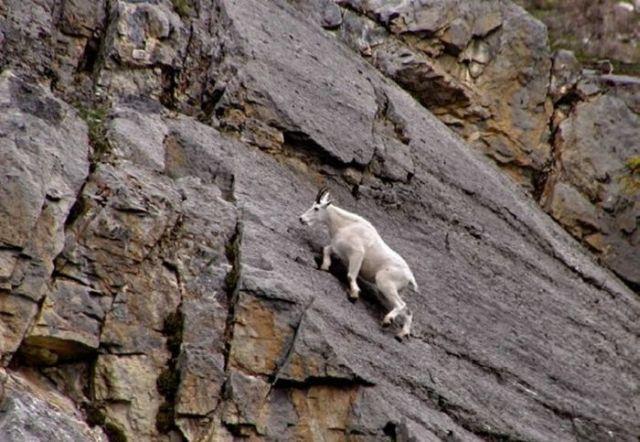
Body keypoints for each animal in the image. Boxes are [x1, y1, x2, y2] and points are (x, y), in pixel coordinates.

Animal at [298, 186, 418, 338]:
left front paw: (354, 294)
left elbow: (351, 275)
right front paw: (325, 266)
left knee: (401, 305)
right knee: (408, 310)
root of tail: (409, 277)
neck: (344, 225)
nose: (301, 219)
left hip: (384, 282)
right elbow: (326, 249)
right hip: (390, 291)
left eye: (316, 208)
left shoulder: (357, 254)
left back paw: (387, 321)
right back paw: (402, 334)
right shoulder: (339, 249)